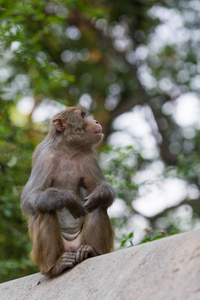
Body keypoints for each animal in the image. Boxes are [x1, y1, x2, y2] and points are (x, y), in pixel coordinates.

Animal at [20, 106, 115, 276]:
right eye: (82, 116)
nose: (96, 121)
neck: (67, 150)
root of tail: (71, 247)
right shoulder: (45, 159)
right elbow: (29, 198)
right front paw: (68, 199)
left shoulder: (88, 157)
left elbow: (100, 186)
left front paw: (97, 195)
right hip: (44, 253)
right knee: (45, 210)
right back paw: (54, 267)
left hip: (80, 242)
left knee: (99, 207)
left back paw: (92, 252)